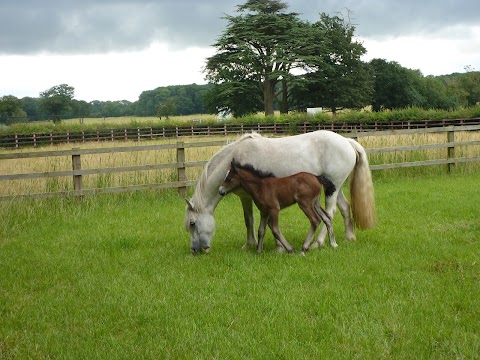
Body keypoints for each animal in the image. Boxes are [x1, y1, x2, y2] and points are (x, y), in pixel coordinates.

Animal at [186, 131, 376, 253]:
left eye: (192, 223)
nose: (196, 250)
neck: (237, 155)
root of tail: (347, 141)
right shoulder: (248, 198)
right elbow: (250, 220)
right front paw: (251, 245)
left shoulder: (252, 198)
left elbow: (259, 222)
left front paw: (277, 248)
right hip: (335, 186)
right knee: (344, 208)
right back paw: (349, 237)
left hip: (332, 188)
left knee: (329, 213)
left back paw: (318, 243)